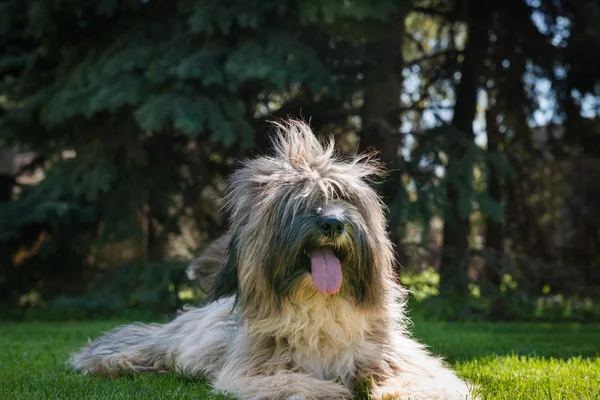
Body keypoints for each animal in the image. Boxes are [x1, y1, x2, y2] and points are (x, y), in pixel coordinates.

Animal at [69, 121, 474, 400]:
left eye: (342, 198)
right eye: (299, 202)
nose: (332, 223)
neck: (319, 303)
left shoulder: (392, 356)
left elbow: (423, 378)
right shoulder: (253, 368)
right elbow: (289, 381)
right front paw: (328, 390)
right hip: (172, 341)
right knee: (133, 342)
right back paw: (109, 361)